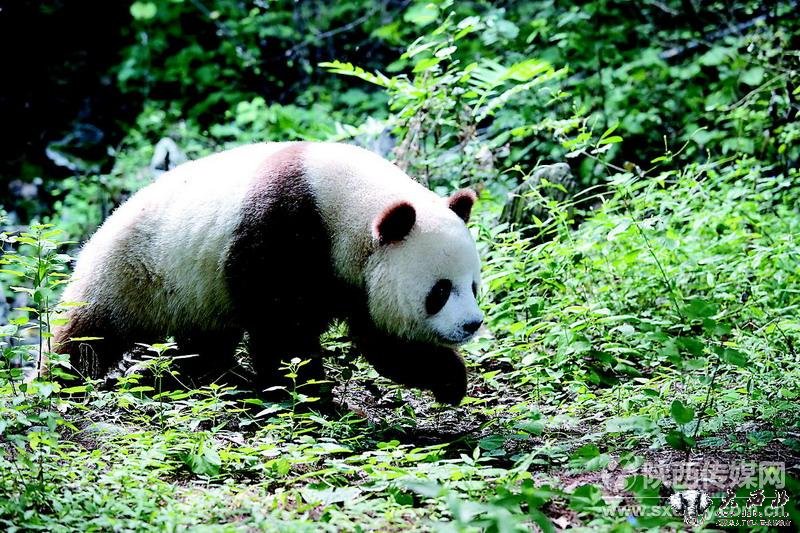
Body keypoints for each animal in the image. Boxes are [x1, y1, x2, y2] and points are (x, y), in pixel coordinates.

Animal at [52, 141, 483, 405]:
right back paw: (66, 377)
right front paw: (311, 396)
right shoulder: (284, 228)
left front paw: (449, 381)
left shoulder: (357, 276)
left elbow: (384, 341)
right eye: (440, 291)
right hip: (134, 271)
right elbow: (283, 326)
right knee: (89, 333)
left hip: (196, 293)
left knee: (205, 341)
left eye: (473, 286)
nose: (472, 324)